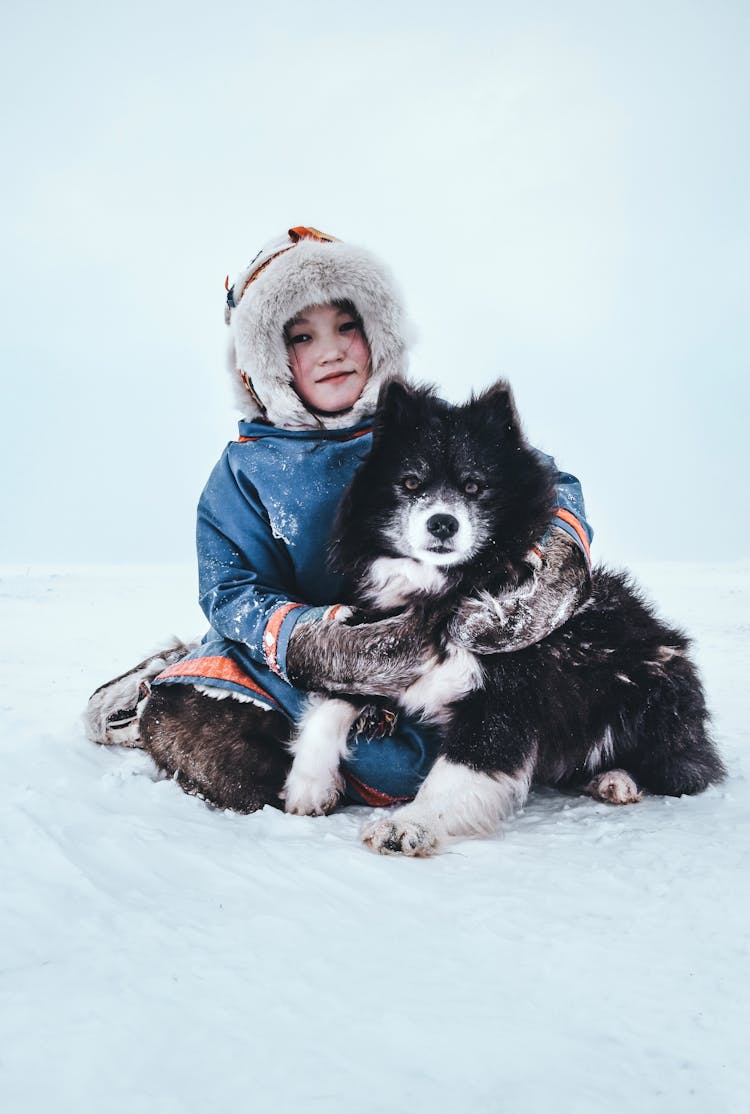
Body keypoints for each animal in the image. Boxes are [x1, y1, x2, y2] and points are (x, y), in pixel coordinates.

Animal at [281, 378, 726, 855]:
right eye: (411, 482)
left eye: (475, 486)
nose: (443, 523)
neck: (451, 587)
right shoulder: (383, 651)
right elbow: (333, 699)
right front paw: (309, 784)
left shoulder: (508, 694)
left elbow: (456, 771)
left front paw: (407, 826)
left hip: (648, 696)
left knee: (675, 769)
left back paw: (616, 780)